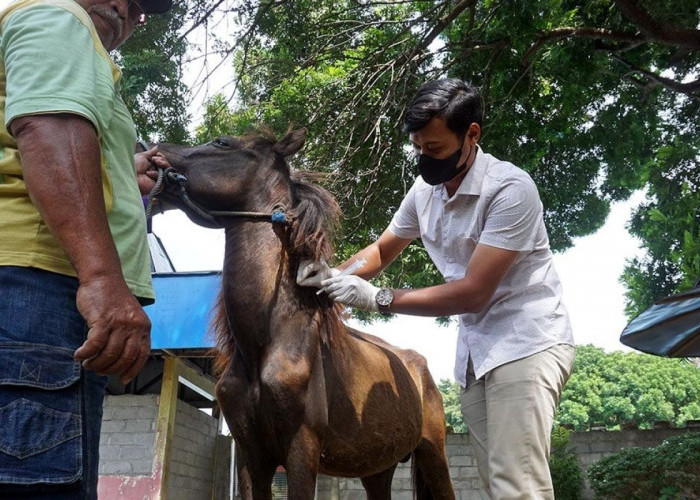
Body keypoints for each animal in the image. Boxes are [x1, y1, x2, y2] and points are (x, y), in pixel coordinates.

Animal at [154, 129, 454, 500]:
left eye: (222, 143)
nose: (149, 149)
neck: (269, 340)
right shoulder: (251, 456)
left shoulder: (301, 450)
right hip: (376, 468)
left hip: (433, 454)